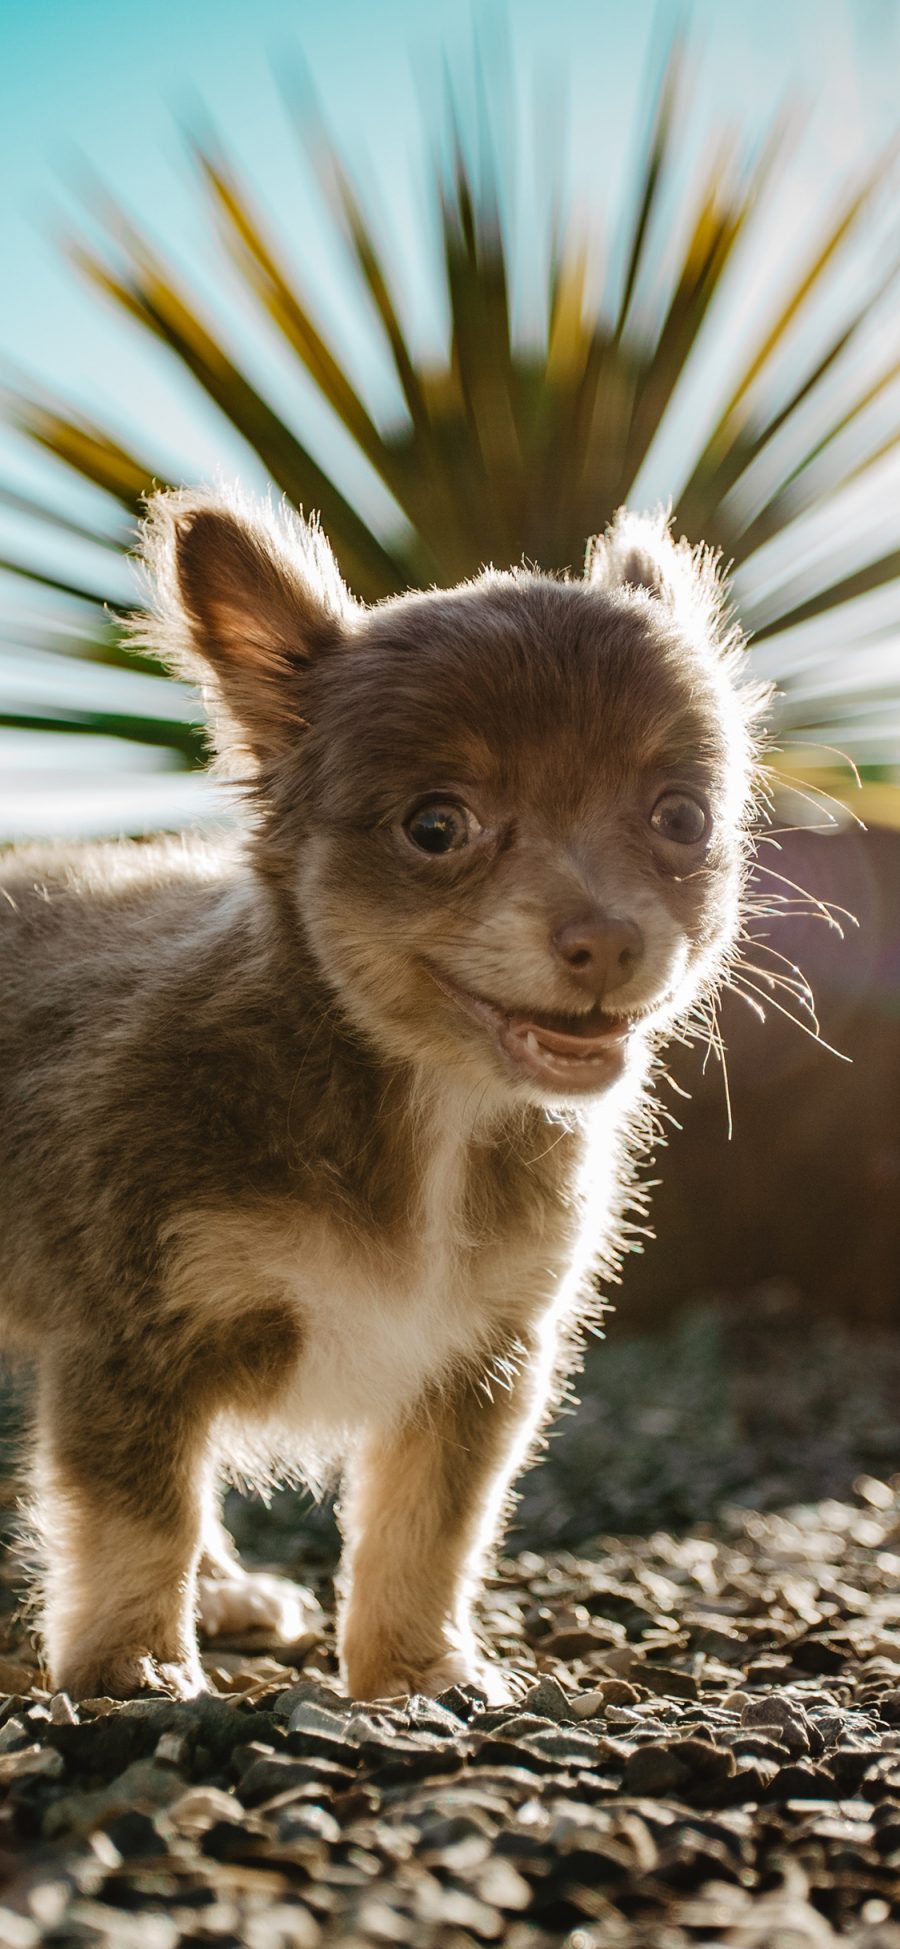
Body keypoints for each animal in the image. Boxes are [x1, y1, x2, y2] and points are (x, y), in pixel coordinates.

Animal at [0, 495, 759, 1699]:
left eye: (682, 817)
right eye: (436, 826)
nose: (608, 939)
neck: (428, 1109)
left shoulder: (478, 1357)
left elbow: (427, 1526)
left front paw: (416, 1672)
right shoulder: (132, 1337)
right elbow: (137, 1520)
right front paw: (132, 1667)